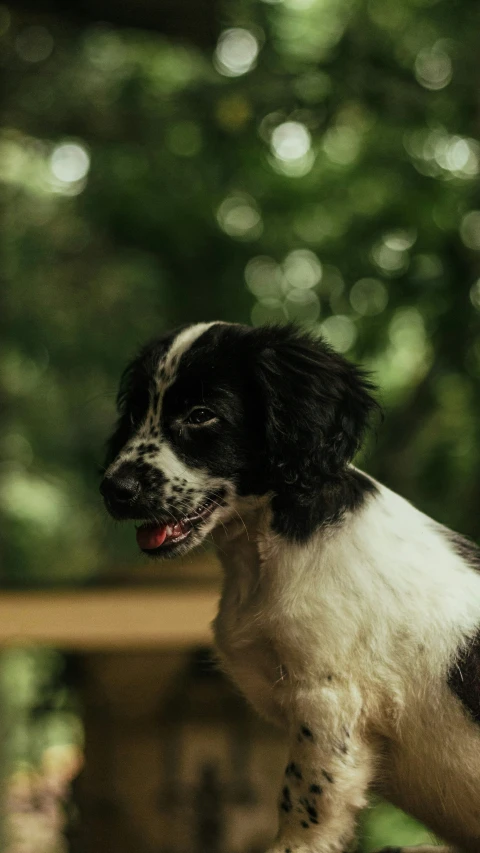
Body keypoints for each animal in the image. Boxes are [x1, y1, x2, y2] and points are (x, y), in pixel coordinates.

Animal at [99, 322, 480, 852]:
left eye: (202, 415)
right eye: (135, 414)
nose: (114, 489)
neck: (266, 547)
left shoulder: (329, 699)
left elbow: (305, 792)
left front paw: (293, 845)